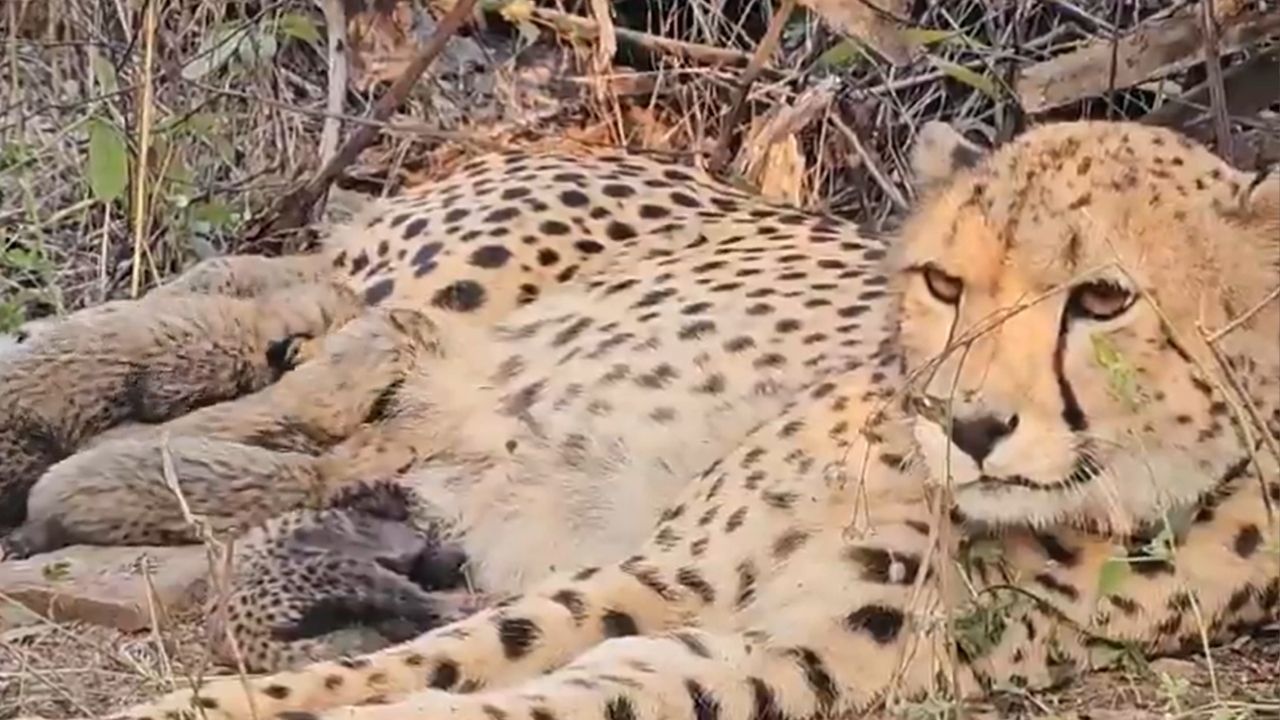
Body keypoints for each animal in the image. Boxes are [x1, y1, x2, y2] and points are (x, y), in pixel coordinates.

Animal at [13, 119, 1280, 720]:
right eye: (941, 284)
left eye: (1102, 300)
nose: (963, 424)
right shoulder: (665, 572)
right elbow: (443, 658)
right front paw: (210, 702)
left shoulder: (773, 659)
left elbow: (522, 690)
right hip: (447, 279)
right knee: (284, 306)